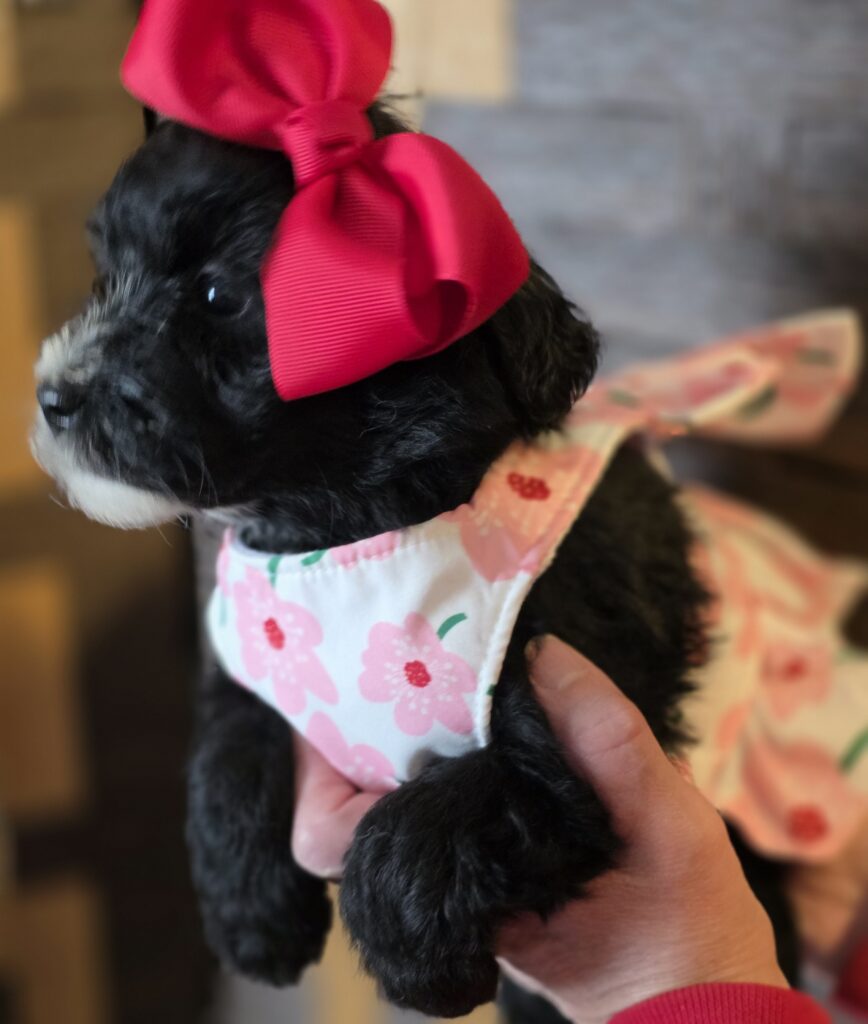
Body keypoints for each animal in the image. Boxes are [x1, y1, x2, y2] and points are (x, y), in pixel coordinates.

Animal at [32, 103, 803, 1020]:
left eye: (220, 296)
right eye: (105, 275)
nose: (53, 395)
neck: (344, 528)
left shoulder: (573, 724)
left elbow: (435, 815)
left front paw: (422, 969)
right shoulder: (253, 657)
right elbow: (228, 741)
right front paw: (251, 916)